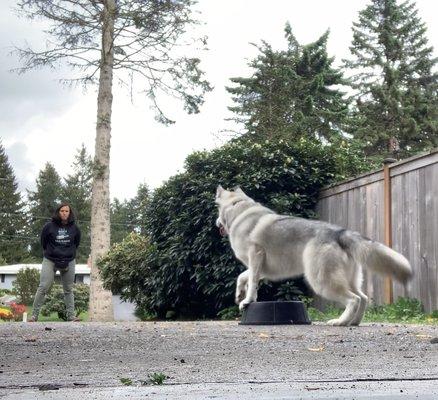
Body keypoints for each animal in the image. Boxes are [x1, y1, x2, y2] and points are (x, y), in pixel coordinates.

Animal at [216, 186, 414, 326]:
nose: (216, 223)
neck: (239, 210)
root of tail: (339, 232)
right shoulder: (260, 267)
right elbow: (243, 277)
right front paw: (239, 293)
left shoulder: (255, 257)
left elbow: (252, 283)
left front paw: (247, 300)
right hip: (347, 280)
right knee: (363, 298)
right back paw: (354, 322)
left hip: (322, 282)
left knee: (354, 299)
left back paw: (341, 321)